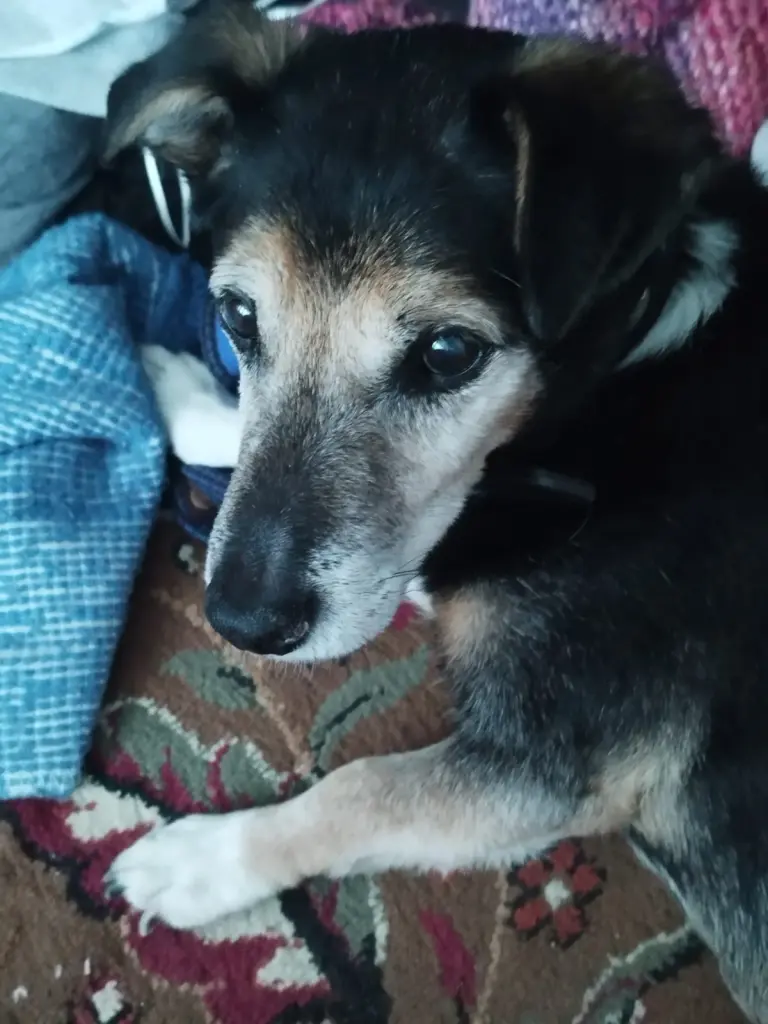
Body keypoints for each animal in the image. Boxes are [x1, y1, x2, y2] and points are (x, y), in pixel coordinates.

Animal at [103, 1, 768, 1018]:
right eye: (239, 317)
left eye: (450, 352)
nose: (243, 625)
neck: (630, 372)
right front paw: (176, 389)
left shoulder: (553, 762)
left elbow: (358, 791)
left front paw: (202, 863)